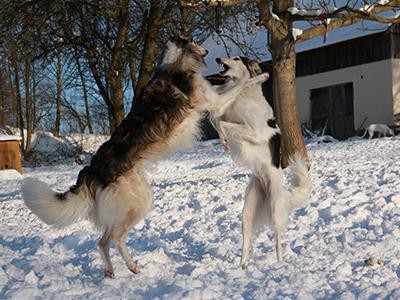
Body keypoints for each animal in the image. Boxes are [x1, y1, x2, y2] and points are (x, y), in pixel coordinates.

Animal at [20, 36, 268, 278]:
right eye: (195, 41)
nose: (210, 53)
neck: (176, 65)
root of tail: (92, 170)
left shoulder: (214, 102)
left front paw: (224, 138)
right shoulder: (214, 100)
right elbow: (241, 84)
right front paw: (262, 75)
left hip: (132, 203)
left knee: (102, 242)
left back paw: (111, 271)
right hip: (137, 204)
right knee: (116, 238)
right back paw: (131, 266)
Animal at [211, 56, 310, 268]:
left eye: (236, 58)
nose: (218, 58)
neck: (244, 95)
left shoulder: (254, 132)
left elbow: (223, 123)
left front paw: (224, 138)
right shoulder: (226, 110)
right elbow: (217, 119)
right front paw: (222, 138)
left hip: (275, 209)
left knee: (278, 241)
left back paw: (279, 264)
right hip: (247, 213)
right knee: (246, 244)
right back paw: (242, 266)